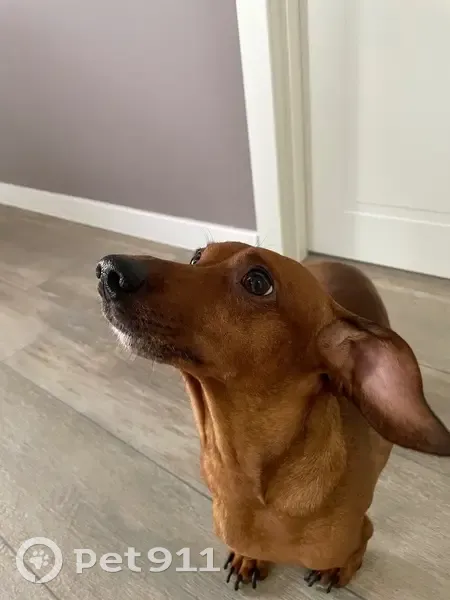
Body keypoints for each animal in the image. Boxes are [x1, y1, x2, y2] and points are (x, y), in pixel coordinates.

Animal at [96, 242, 450, 592]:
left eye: (257, 282)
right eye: (197, 257)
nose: (108, 270)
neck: (254, 485)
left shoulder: (357, 531)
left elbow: (359, 544)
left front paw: (339, 568)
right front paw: (249, 558)